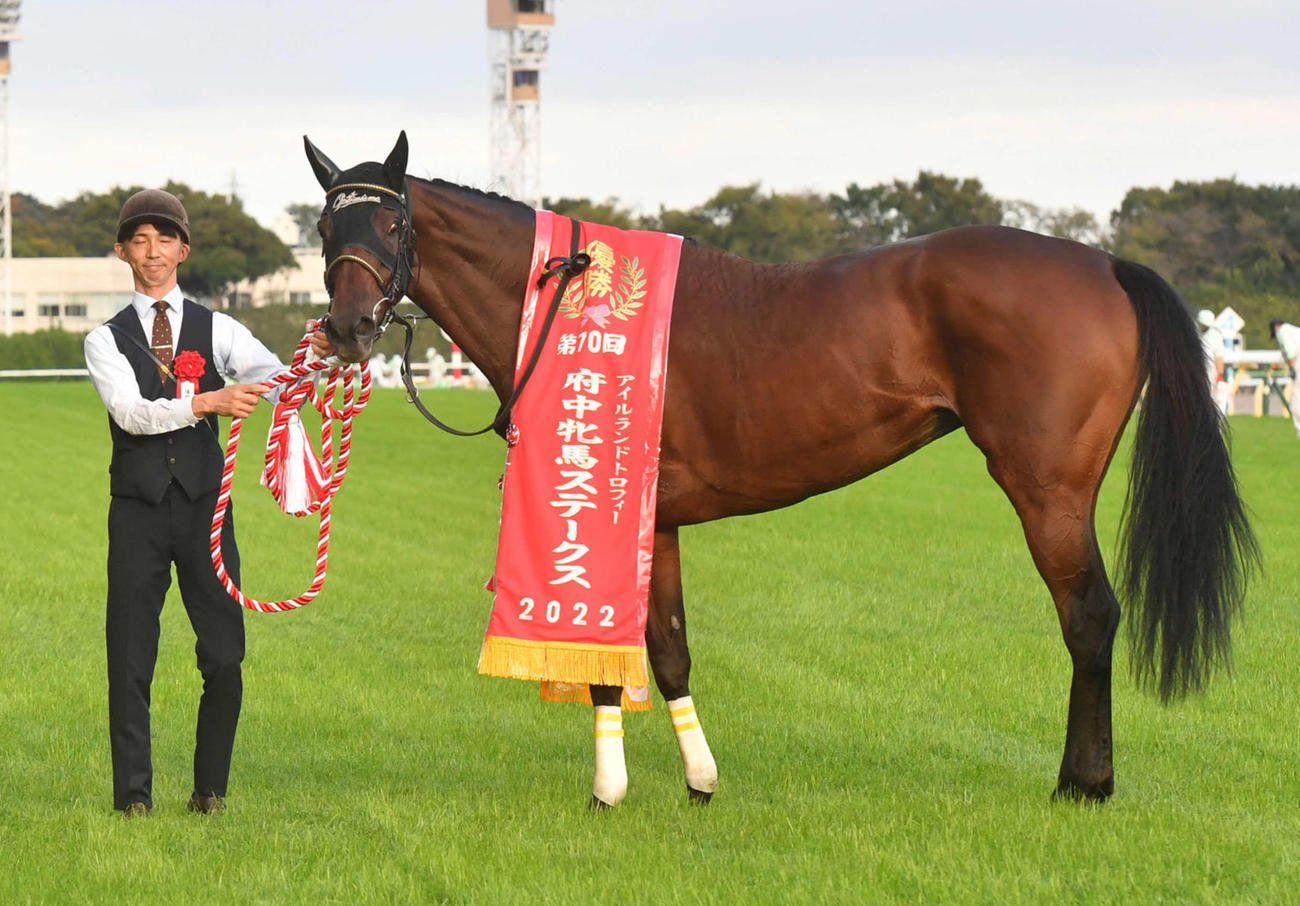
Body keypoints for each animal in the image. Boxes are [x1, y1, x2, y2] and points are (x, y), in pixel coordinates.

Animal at [303, 131, 1258, 807]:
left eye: (392, 222)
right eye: (323, 226)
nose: (349, 327)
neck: (564, 301)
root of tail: (1105, 262)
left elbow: (614, 655)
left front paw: (609, 792)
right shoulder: (660, 519)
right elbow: (668, 650)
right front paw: (697, 783)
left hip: (1047, 491)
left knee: (1089, 617)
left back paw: (1082, 785)